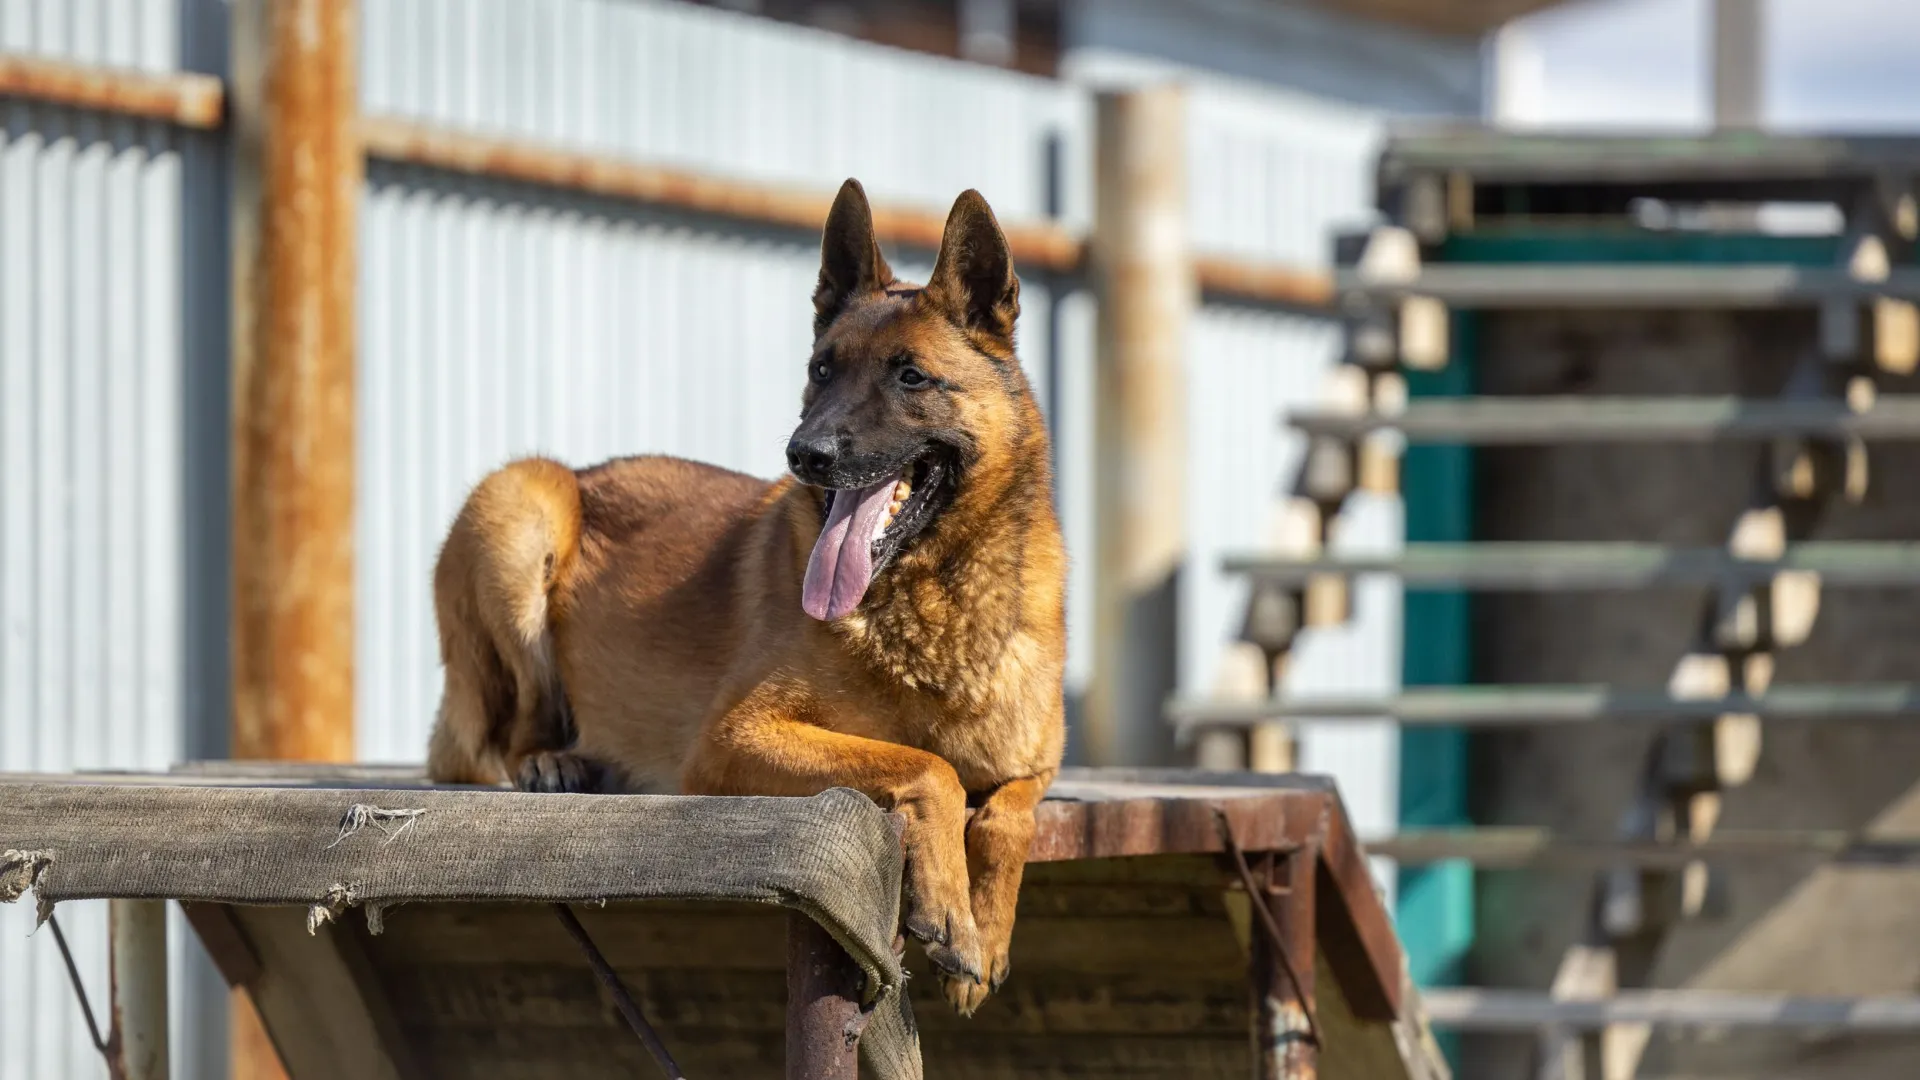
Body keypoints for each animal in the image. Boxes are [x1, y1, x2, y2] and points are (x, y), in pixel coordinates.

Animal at [426, 178, 1075, 1006]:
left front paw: (984, 928)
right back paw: (552, 760)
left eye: (910, 376)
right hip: (517, 506)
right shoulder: (733, 740)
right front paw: (952, 911)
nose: (805, 454)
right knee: (497, 739)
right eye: (822, 370)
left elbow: (1007, 809)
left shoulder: (1039, 764)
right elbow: (929, 767)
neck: (930, 597)